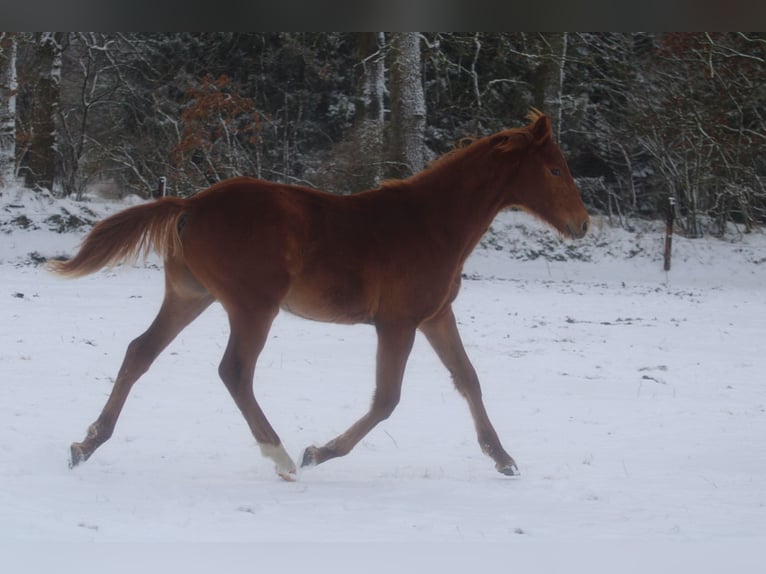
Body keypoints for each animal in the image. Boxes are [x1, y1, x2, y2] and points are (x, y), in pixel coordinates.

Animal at [51, 109, 589, 480]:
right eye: (556, 170)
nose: (582, 225)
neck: (433, 223)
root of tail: (190, 204)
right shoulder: (397, 322)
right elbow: (387, 398)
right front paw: (319, 452)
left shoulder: (436, 316)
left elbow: (468, 380)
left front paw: (503, 458)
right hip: (253, 307)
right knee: (234, 372)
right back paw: (282, 456)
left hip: (189, 296)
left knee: (139, 352)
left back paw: (85, 444)